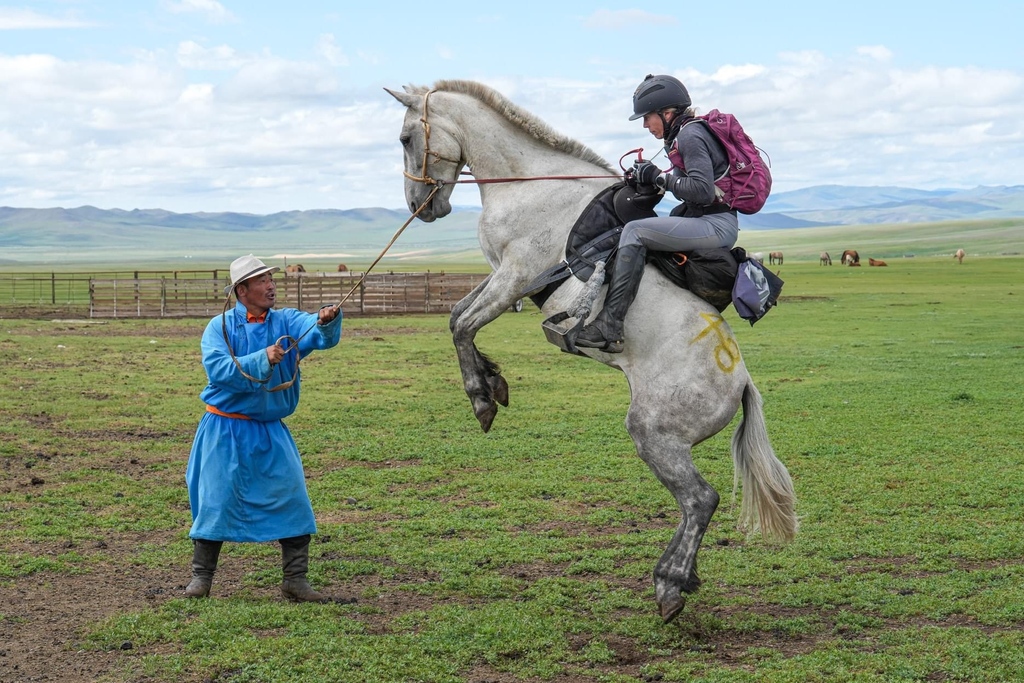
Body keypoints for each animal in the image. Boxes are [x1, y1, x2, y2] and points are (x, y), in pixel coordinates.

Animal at [386, 80, 796, 623]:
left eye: (406, 137)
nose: (419, 206)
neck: (529, 184)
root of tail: (742, 380)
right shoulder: (503, 278)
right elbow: (456, 316)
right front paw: (494, 383)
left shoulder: (514, 275)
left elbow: (464, 324)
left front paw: (481, 398)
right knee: (695, 504)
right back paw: (680, 578)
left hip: (653, 432)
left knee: (700, 500)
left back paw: (670, 584)